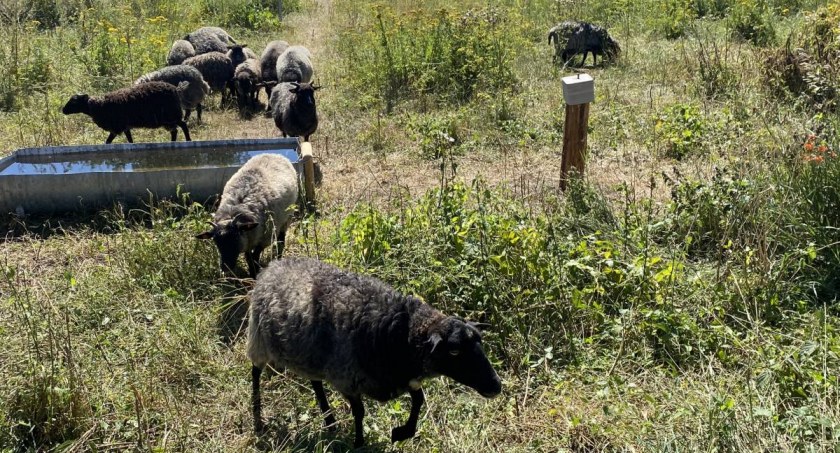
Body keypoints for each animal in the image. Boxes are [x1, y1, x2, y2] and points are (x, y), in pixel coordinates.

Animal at [63, 81, 193, 144]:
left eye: (74, 101)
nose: (63, 110)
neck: (99, 106)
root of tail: (176, 89)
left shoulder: (116, 127)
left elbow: (108, 142)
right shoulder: (125, 127)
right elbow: (130, 140)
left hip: (171, 115)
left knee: (183, 125)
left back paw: (188, 140)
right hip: (168, 119)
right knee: (175, 131)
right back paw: (172, 142)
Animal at [246, 256, 502, 446]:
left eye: (480, 341)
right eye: (454, 351)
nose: (496, 385)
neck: (400, 334)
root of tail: (273, 266)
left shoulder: (401, 377)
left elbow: (419, 400)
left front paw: (402, 432)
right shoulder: (347, 379)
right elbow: (359, 412)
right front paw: (359, 443)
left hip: (309, 354)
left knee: (316, 383)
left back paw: (330, 421)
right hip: (258, 339)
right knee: (255, 372)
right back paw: (257, 417)